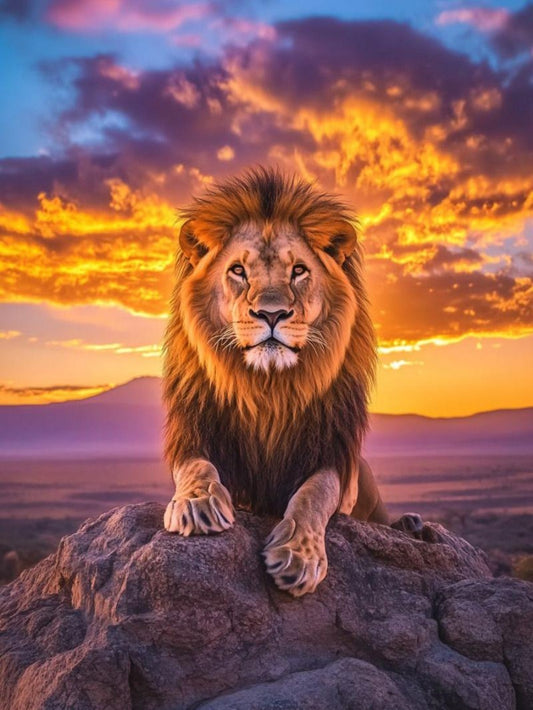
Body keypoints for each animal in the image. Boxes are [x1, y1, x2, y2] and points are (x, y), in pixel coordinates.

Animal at [163, 167, 421, 596]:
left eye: (298, 270)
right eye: (238, 270)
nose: (272, 314)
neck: (269, 389)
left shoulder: (331, 454)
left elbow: (314, 495)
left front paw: (299, 556)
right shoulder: (194, 432)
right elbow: (196, 467)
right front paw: (198, 504)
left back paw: (411, 524)